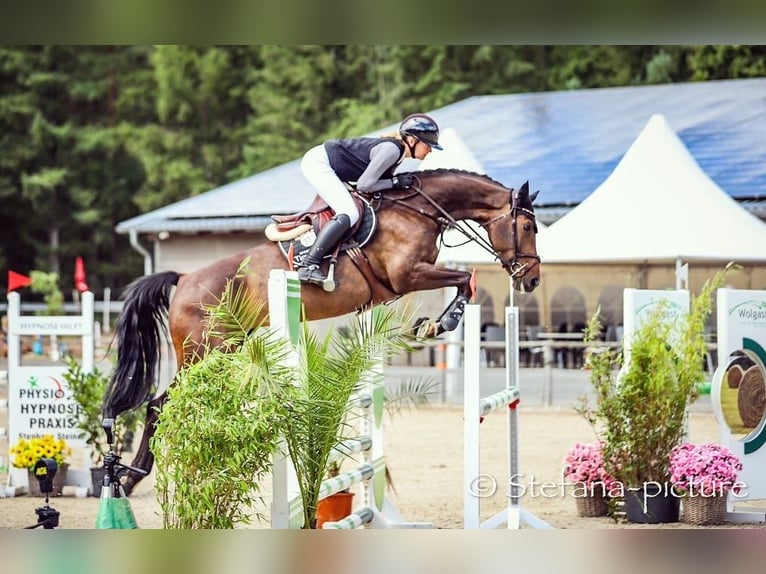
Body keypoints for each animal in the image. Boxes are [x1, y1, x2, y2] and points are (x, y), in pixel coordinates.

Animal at [105, 168, 544, 496]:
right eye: (526, 225)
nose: (532, 279)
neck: (419, 209)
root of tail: (183, 279)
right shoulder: (408, 275)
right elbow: (466, 279)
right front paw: (441, 322)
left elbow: (465, 281)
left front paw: (435, 322)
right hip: (206, 352)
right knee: (159, 404)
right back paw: (131, 477)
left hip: (224, 348)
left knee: (168, 404)